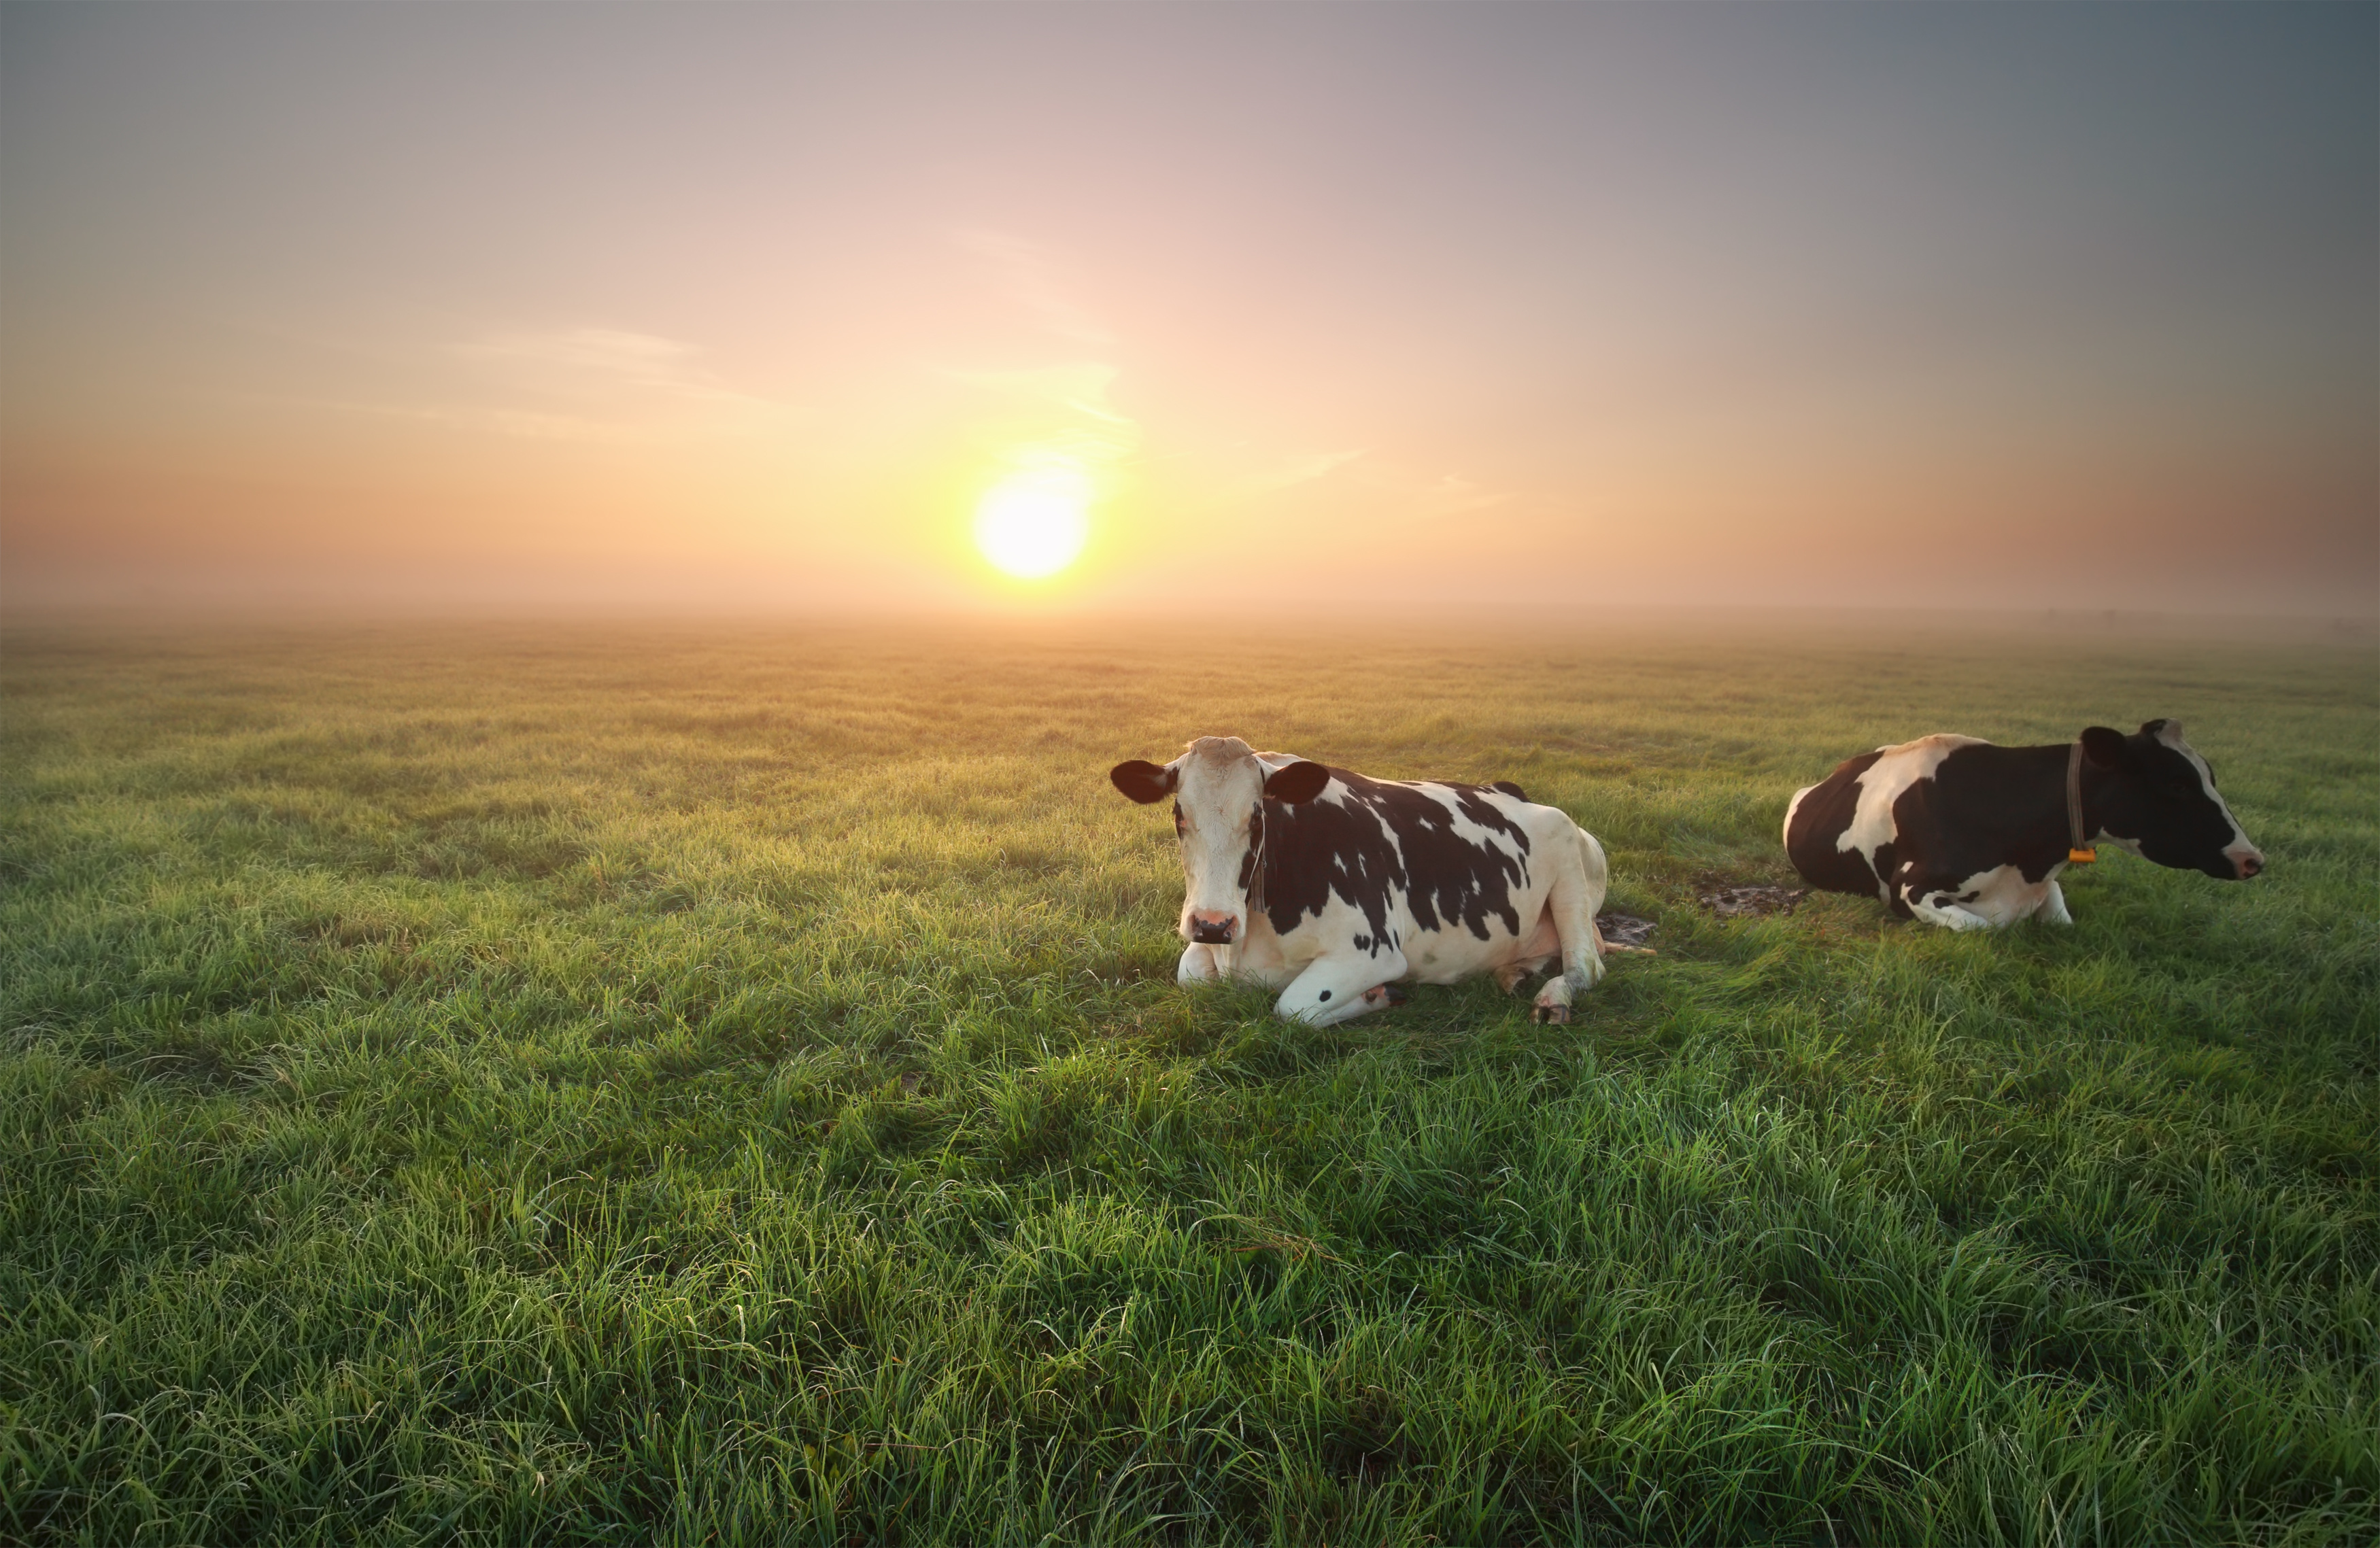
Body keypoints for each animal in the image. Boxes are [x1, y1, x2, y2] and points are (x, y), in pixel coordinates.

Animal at [1109, 736, 1612, 1026]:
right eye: (1179, 815)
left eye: (1256, 817)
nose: (1213, 924)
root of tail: (1513, 790)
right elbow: (1190, 974)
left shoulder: (1373, 950)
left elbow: (1294, 1007)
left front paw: (1380, 995)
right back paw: (1513, 973)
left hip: (1570, 862)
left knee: (1586, 966)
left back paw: (1552, 998)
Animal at [1783, 719, 2263, 930]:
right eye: (2178, 784)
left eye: (2211, 776)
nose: (2252, 859)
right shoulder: (1909, 886)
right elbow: (1983, 925)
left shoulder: (2047, 886)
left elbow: (2063, 920)